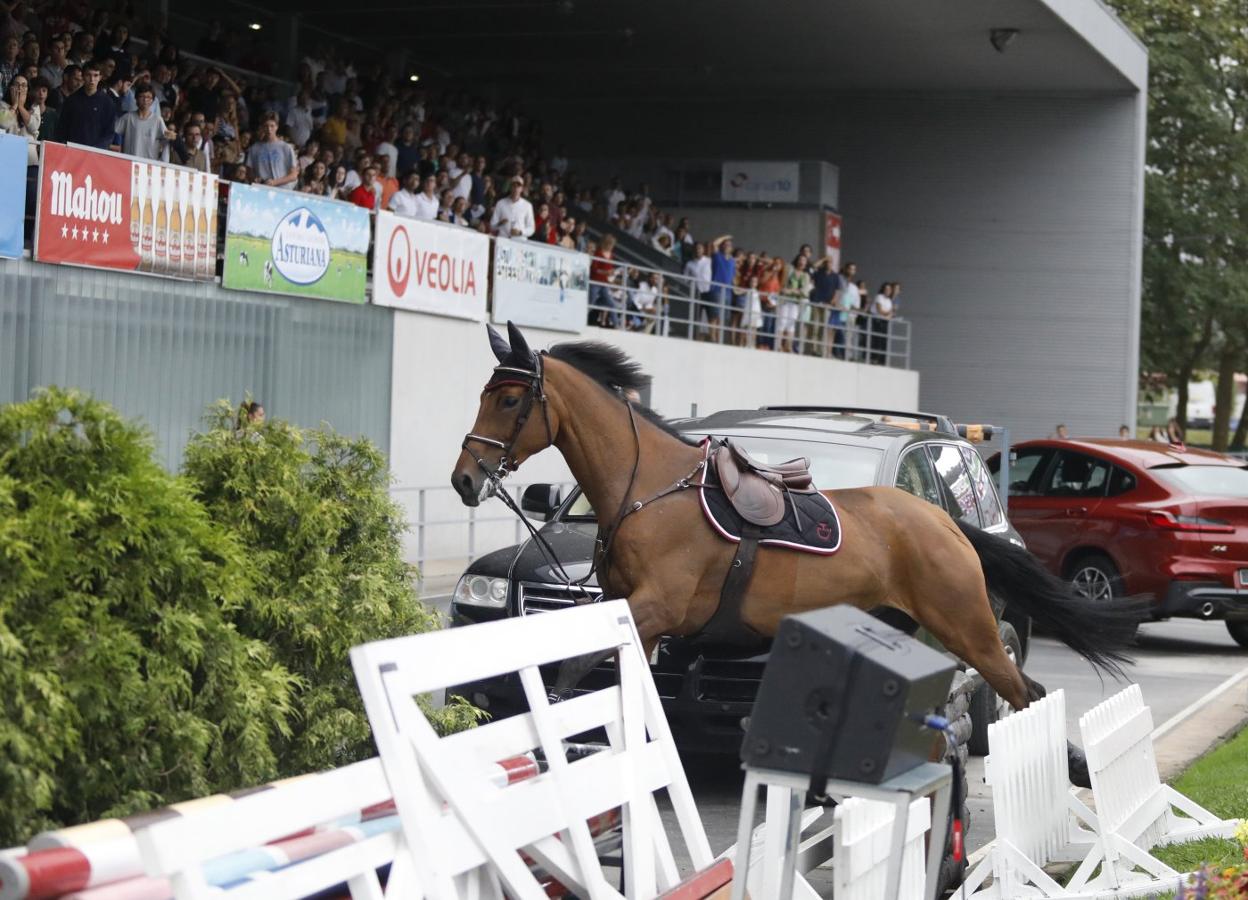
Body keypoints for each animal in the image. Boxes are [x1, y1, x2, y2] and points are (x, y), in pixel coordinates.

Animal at [454, 322, 1138, 778]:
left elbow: (574, 674)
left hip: (966, 624)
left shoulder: (658, 608)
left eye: (510, 399)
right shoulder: (633, 617)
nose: (465, 478)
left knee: (1022, 692)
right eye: (484, 394)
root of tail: (947, 522)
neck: (647, 490)